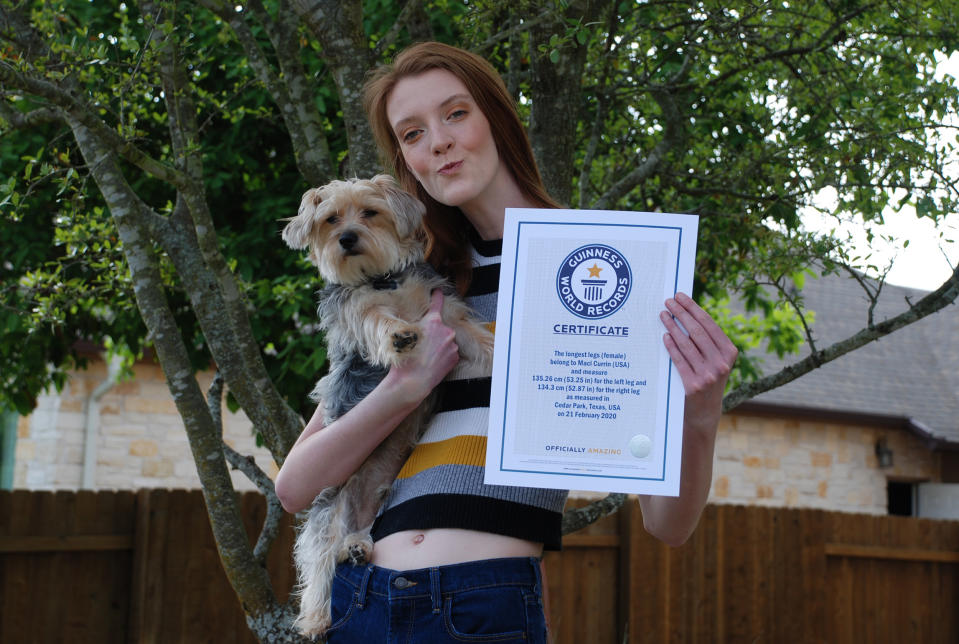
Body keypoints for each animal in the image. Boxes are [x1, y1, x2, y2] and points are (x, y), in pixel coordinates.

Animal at [282, 174, 496, 636]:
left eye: (369, 212)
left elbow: (476, 335)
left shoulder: (445, 312)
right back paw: (316, 617)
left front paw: (500, 351)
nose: (347, 238)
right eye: (330, 219)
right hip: (328, 509)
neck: (383, 280)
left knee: (354, 538)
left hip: (373, 508)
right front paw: (399, 334)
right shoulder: (356, 314)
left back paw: (359, 547)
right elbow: (377, 319)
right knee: (321, 565)